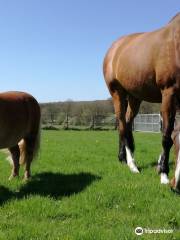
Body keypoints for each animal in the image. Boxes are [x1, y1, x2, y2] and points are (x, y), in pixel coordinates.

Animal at [103, 13, 180, 188]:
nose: (175, 183)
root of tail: (114, 48)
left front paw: (160, 165)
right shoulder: (169, 93)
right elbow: (167, 136)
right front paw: (163, 173)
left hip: (134, 97)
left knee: (126, 123)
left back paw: (123, 158)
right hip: (117, 93)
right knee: (122, 125)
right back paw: (132, 165)